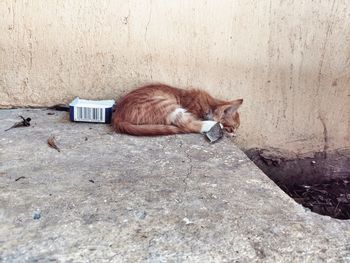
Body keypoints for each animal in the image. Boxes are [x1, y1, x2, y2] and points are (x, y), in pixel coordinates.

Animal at [113, 84, 243, 137]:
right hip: (167, 106)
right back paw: (212, 124)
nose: (235, 135)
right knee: (188, 125)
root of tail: (117, 116)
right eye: (232, 129)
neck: (205, 105)